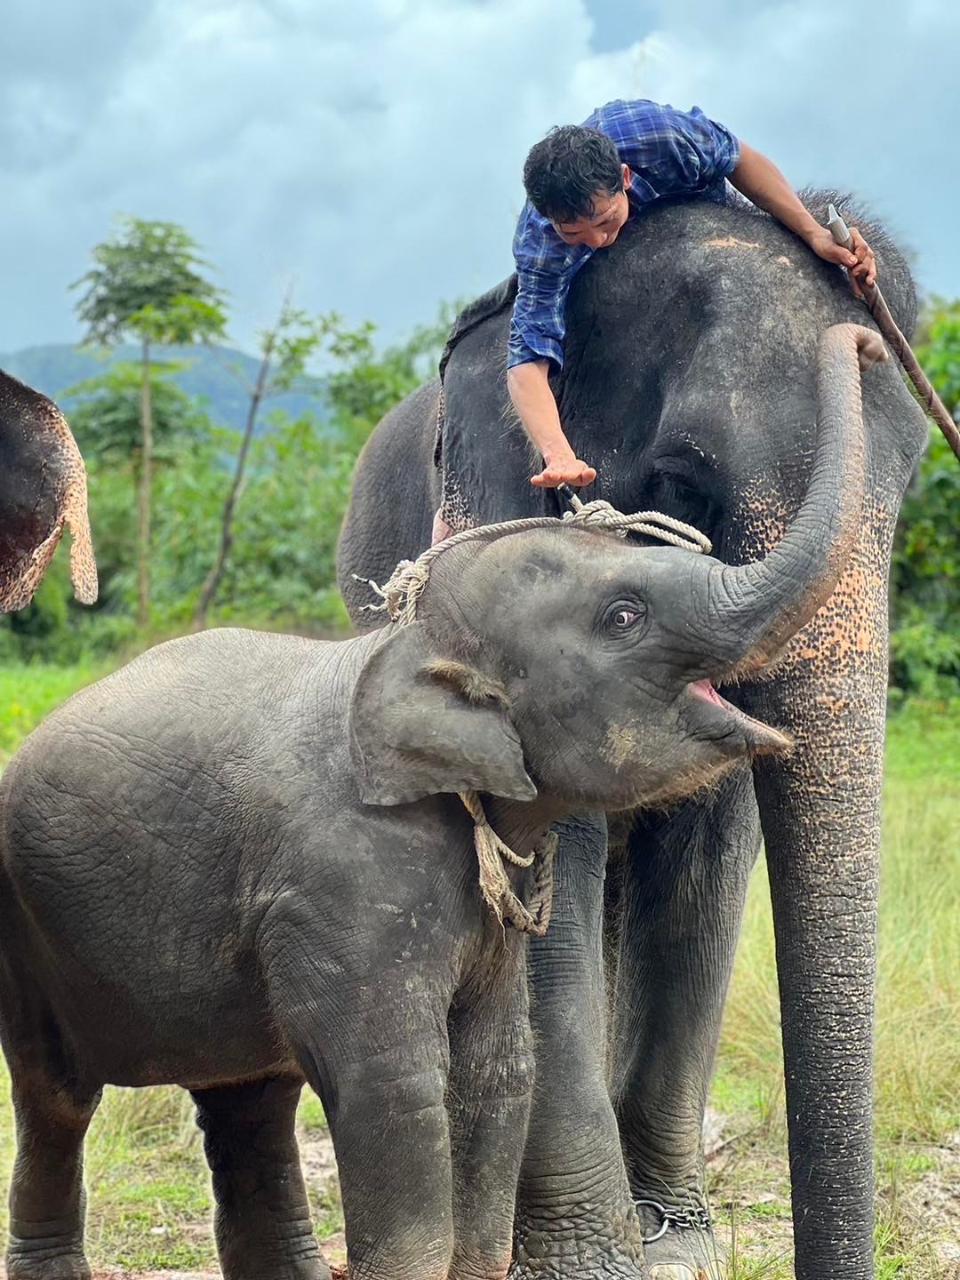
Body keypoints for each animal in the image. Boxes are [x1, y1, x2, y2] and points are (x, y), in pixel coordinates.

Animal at [340, 192, 931, 1280]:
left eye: (910, 482)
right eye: (681, 480)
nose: (862, 333)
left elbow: (710, 856)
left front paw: (680, 1247)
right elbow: (546, 864)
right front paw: (592, 1264)